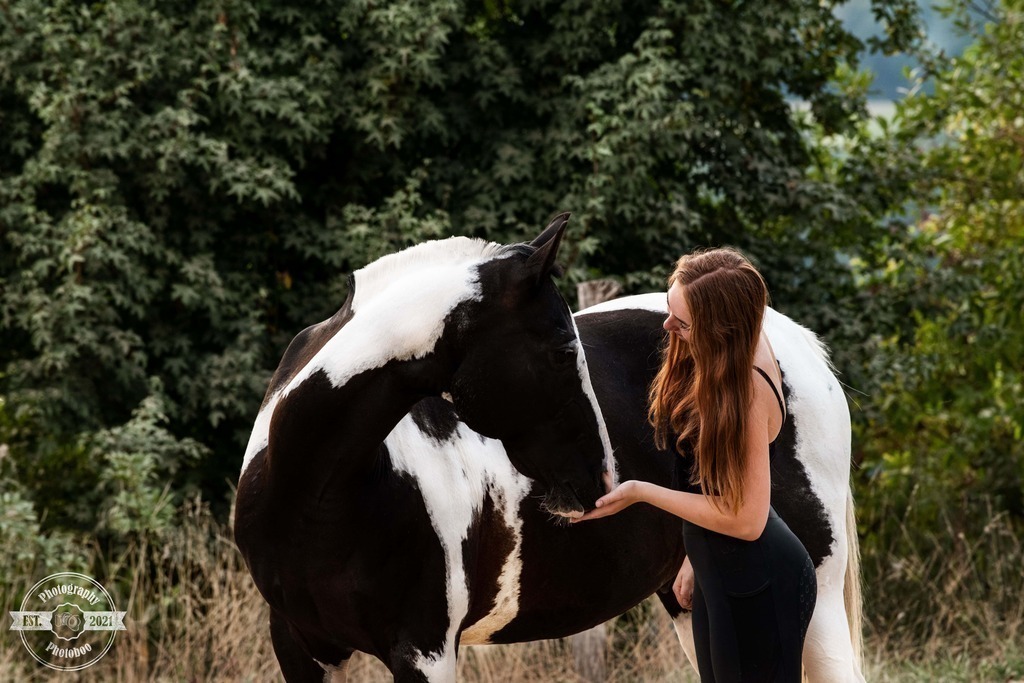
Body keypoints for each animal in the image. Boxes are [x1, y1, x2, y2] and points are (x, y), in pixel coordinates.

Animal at [235, 222, 865, 682]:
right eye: (564, 350)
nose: (603, 477)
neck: (318, 491)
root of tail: (792, 345)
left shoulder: (423, 650)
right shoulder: (300, 648)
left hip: (816, 599)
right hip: (689, 601)